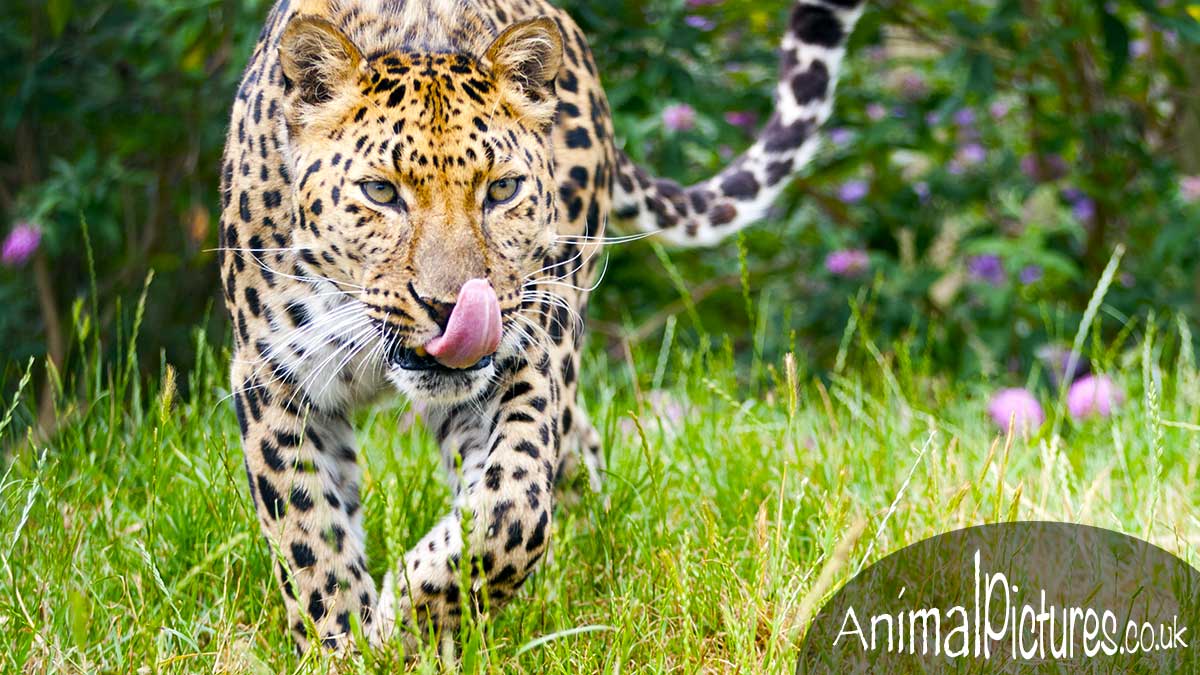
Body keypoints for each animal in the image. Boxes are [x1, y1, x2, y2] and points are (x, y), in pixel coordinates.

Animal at [218, 0, 864, 653]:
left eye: (502, 189)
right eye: (379, 191)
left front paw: (413, 613)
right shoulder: (274, 378)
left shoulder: (525, 357)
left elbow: (513, 507)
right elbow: (309, 533)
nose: (450, 308)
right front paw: (343, 645)